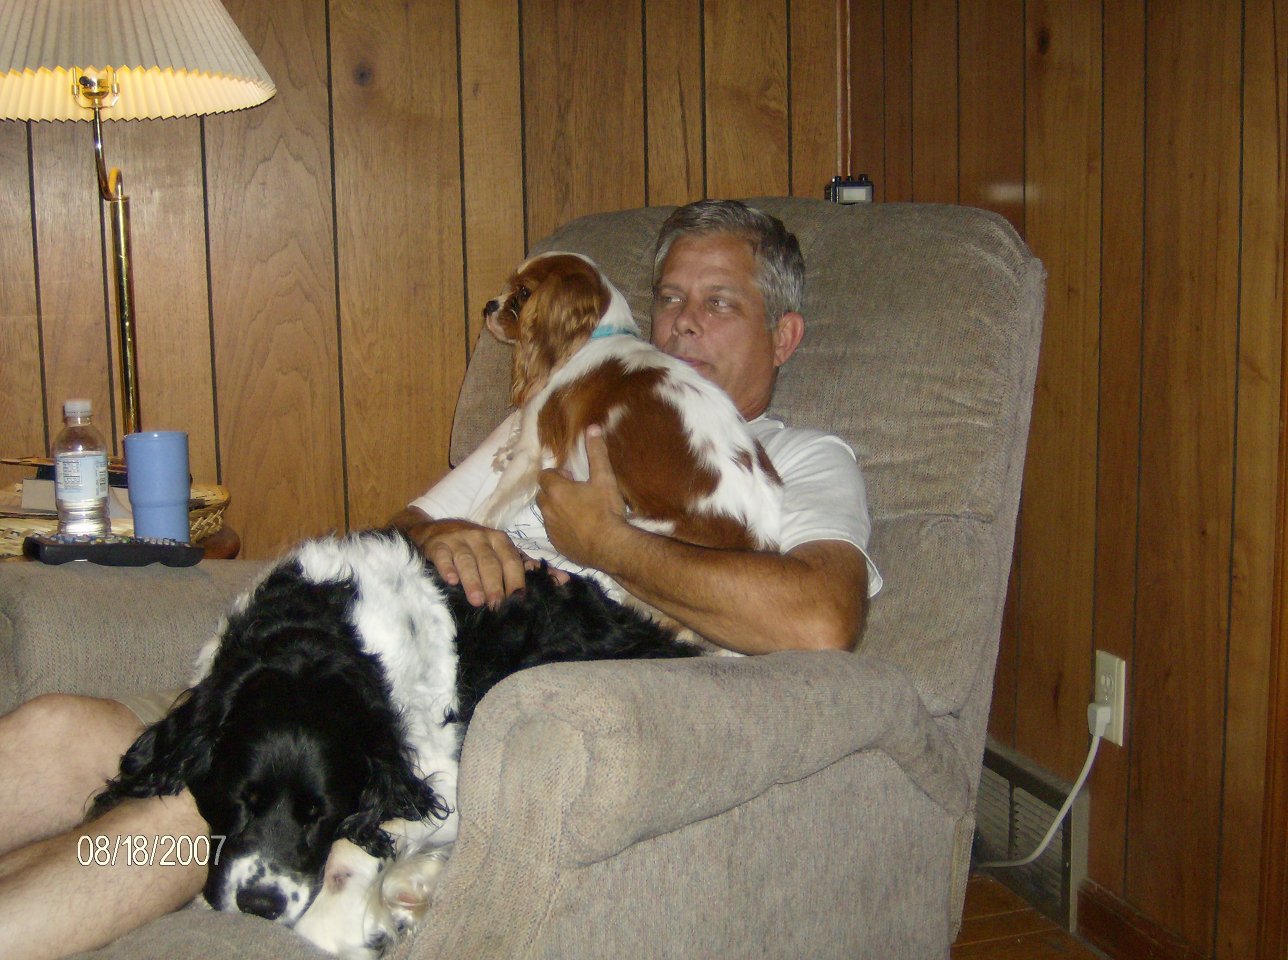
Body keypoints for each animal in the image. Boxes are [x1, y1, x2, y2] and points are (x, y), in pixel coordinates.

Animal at [92, 530, 699, 956]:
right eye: (239, 799)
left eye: (321, 813)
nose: (260, 905)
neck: (319, 642)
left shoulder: (440, 779)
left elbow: (358, 844)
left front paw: (348, 925)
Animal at [475, 251, 783, 554]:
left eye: (524, 292)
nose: (488, 306)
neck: (588, 340)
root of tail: (757, 537)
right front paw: (505, 453)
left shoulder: (533, 447)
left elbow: (494, 501)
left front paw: (474, 524)